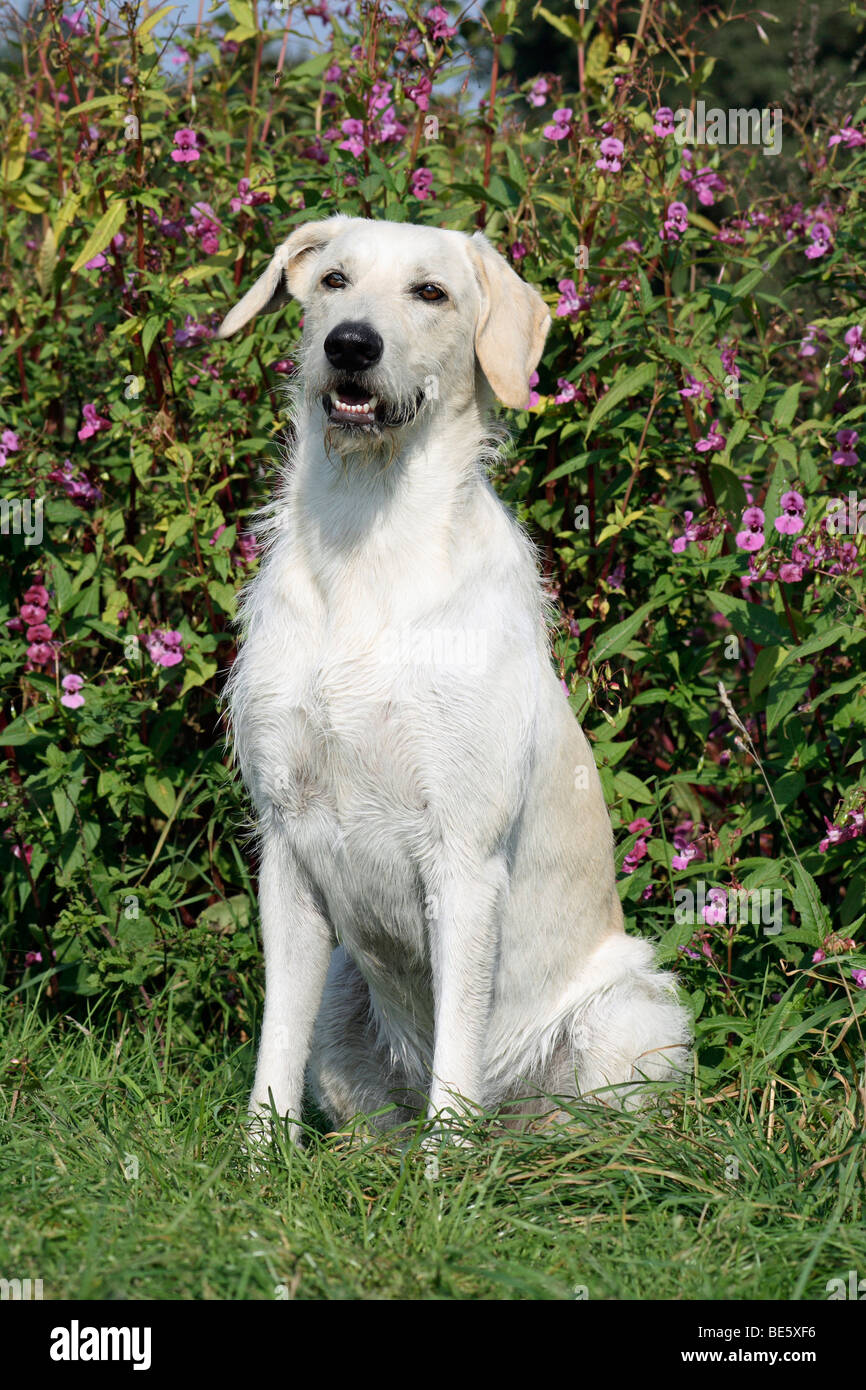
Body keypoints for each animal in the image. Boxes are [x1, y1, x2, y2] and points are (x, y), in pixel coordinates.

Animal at [218, 211, 692, 1134]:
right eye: (333, 279)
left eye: (430, 292)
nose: (350, 344)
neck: (366, 539)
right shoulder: (287, 849)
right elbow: (272, 1059)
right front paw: (257, 1160)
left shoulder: (465, 861)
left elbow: (455, 1068)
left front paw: (450, 1173)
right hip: (344, 998)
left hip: (630, 1016)